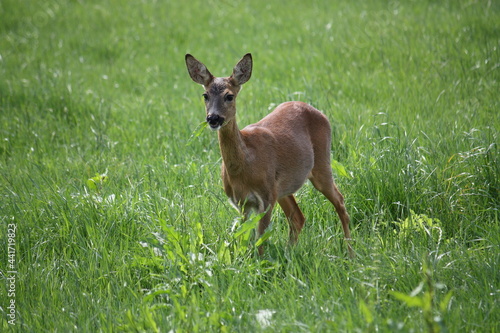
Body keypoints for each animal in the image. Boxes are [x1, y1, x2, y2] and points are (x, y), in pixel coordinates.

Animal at [186, 53, 354, 255]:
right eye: (205, 95)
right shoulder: (241, 203)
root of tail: (318, 111)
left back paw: (351, 252)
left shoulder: (265, 198)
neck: (245, 164)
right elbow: (244, 237)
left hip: (321, 165)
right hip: (282, 187)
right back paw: (290, 254)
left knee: (340, 202)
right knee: (297, 217)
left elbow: (260, 242)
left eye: (229, 96)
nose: (213, 118)